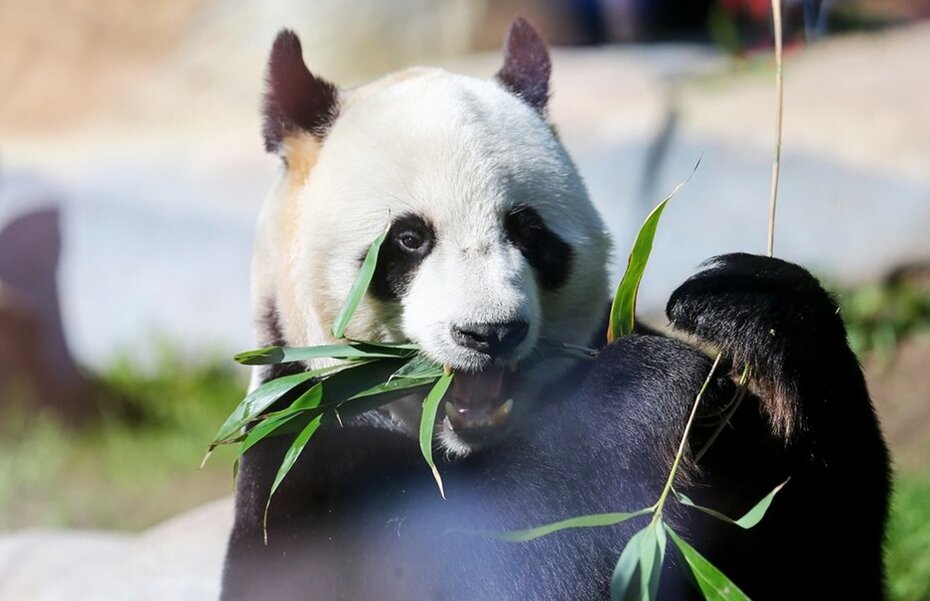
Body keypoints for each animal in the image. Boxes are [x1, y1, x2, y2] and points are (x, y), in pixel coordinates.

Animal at [219, 18, 892, 600]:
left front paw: (748, 312)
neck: (463, 448)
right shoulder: (307, 462)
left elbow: (804, 551)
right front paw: (643, 382)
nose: (490, 333)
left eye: (528, 231)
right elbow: (492, 557)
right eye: (409, 239)